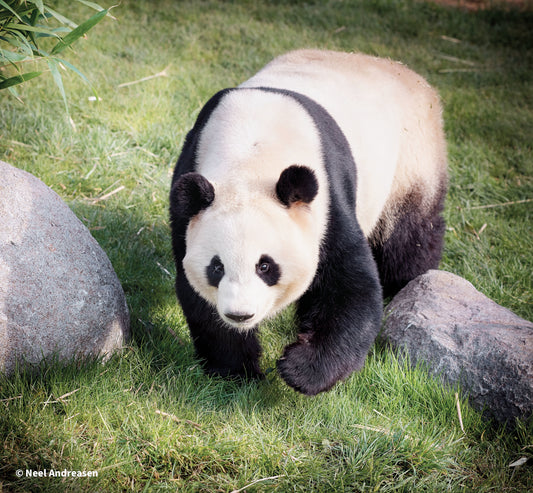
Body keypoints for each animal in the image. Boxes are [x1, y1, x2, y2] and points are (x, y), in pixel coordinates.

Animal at [168, 50, 446, 394]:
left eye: (265, 266)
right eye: (216, 267)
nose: (240, 314)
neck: (251, 152)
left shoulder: (327, 200)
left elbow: (350, 286)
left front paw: (300, 367)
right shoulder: (189, 191)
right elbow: (195, 293)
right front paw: (236, 370)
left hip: (412, 161)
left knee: (409, 236)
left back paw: (404, 282)